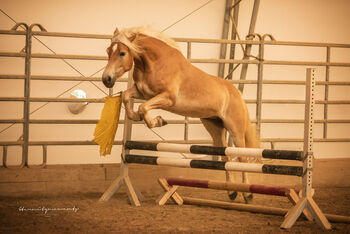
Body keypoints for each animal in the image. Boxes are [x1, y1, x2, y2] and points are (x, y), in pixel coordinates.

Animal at [101, 25, 260, 201]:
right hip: (215, 127)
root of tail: (236, 92)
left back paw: (248, 194)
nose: (106, 79)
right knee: (226, 156)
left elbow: (143, 108)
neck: (155, 62)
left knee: (242, 158)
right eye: (108, 51)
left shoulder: (168, 98)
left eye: (122, 53)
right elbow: (126, 97)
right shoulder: (143, 93)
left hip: (235, 130)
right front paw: (141, 117)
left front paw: (158, 121)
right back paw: (231, 192)